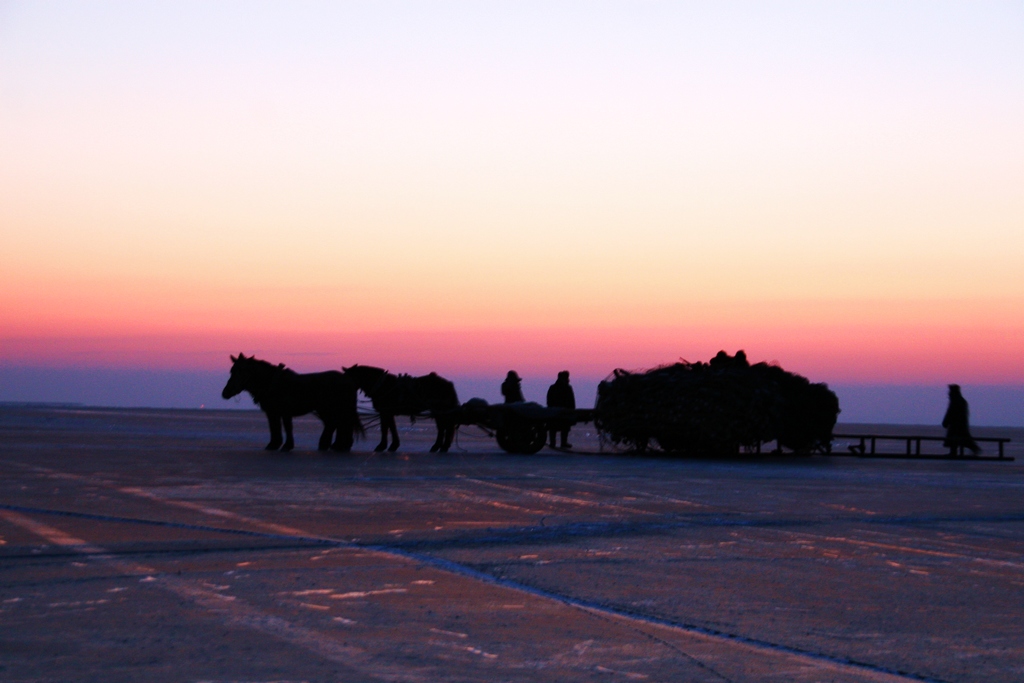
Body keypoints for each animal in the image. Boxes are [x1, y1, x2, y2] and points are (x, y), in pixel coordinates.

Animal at [222, 352, 362, 454]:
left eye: (242, 370)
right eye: (232, 370)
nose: (226, 392)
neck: (273, 383)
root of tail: (349, 380)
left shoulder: (285, 412)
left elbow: (287, 427)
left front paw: (287, 446)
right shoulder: (272, 412)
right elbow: (274, 427)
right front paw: (273, 444)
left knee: (340, 424)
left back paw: (338, 445)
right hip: (327, 409)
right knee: (335, 425)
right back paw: (332, 445)